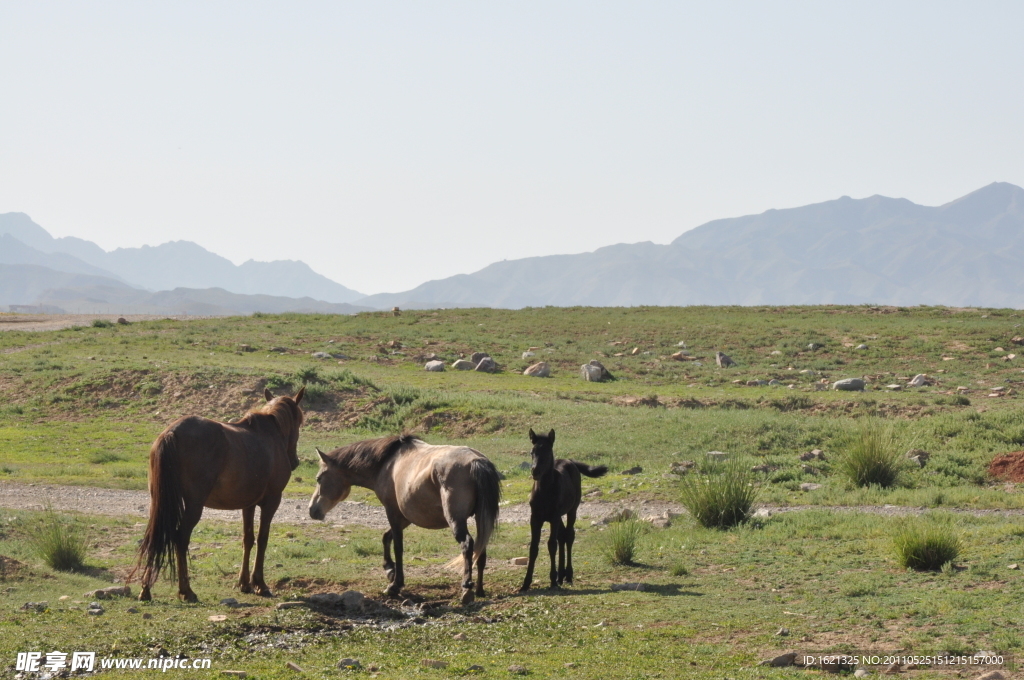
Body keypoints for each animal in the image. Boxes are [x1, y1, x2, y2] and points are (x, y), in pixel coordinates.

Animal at [131, 385, 303, 602]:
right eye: (300, 421)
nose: (295, 461)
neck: (272, 436)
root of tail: (171, 433)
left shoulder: (248, 504)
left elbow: (248, 539)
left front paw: (244, 583)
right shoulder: (271, 501)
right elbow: (263, 539)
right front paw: (259, 584)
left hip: (159, 502)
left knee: (154, 536)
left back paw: (145, 589)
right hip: (194, 505)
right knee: (180, 538)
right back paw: (186, 590)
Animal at [309, 432, 501, 602]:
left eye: (319, 478)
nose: (312, 510)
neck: (387, 463)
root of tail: (477, 461)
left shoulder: (393, 512)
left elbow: (397, 547)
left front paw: (395, 585)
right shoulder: (405, 517)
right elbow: (386, 537)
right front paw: (389, 569)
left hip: (456, 520)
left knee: (467, 545)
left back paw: (466, 588)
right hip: (480, 518)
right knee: (481, 550)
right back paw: (479, 589)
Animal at [520, 430, 606, 589]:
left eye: (548, 451)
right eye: (532, 452)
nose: (535, 471)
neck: (544, 492)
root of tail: (570, 461)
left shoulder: (553, 517)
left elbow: (551, 545)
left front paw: (552, 580)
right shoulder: (535, 518)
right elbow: (534, 547)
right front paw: (526, 583)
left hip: (572, 510)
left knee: (569, 535)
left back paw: (568, 576)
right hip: (559, 516)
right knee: (562, 535)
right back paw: (561, 575)